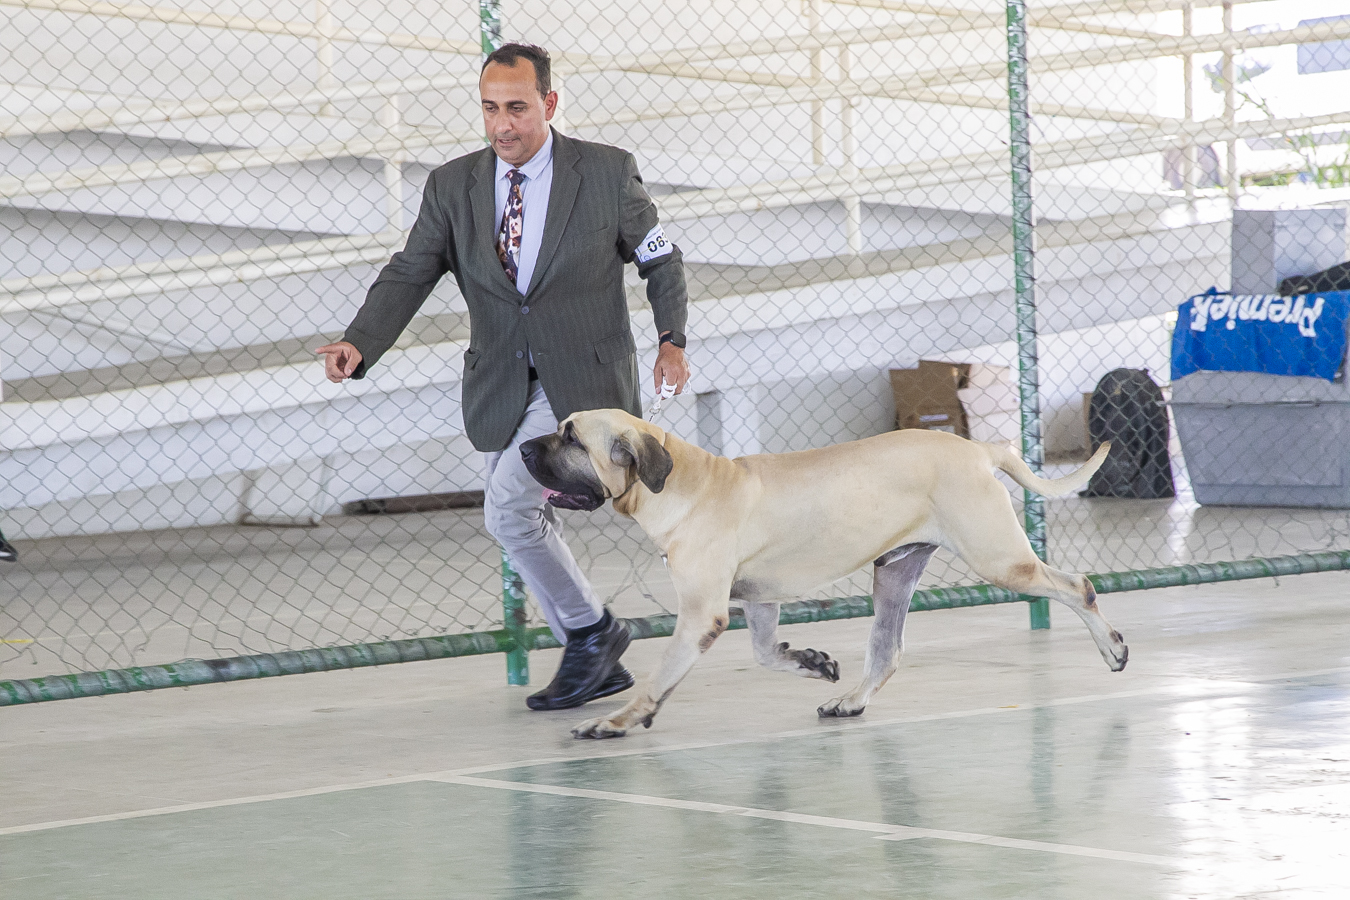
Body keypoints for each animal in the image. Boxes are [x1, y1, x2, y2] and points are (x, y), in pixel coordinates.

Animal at [520, 410, 1125, 739]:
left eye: (572, 438)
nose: (522, 446)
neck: (683, 483)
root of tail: (978, 449)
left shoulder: (700, 615)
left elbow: (658, 679)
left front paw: (614, 722)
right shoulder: (757, 601)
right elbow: (766, 653)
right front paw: (811, 661)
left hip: (1000, 560)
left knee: (1079, 587)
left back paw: (1114, 647)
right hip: (894, 575)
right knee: (887, 652)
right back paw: (851, 700)